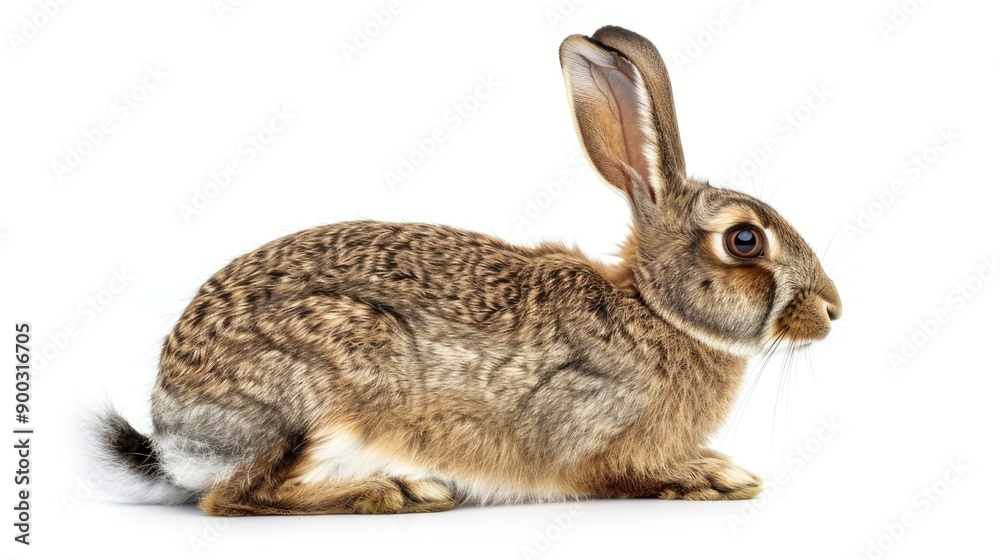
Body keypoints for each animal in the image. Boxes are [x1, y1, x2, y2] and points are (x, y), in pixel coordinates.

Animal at [88, 25, 840, 516]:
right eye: (744, 241)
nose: (833, 310)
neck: (657, 311)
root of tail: (173, 428)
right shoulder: (590, 431)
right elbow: (618, 473)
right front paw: (714, 479)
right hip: (330, 385)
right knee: (235, 497)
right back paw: (399, 490)